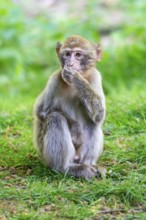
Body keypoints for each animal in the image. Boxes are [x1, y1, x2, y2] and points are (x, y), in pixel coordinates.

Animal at [33, 34, 105, 179]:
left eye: (78, 54)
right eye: (67, 54)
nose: (70, 64)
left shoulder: (95, 76)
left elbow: (99, 115)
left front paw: (77, 79)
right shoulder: (54, 79)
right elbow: (41, 112)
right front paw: (75, 128)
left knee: (92, 122)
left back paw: (89, 165)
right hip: (46, 156)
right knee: (55, 117)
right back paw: (66, 168)